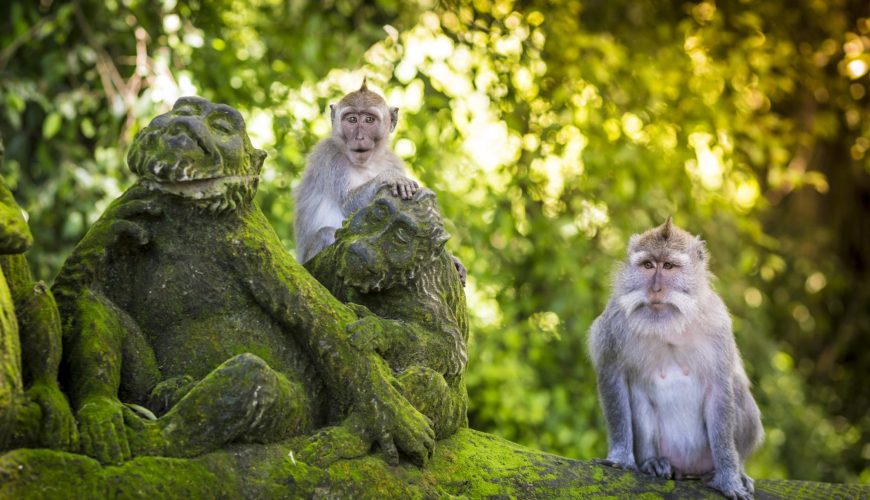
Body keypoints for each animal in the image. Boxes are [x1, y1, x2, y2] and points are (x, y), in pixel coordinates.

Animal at [293, 79, 420, 265]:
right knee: (327, 233)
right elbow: (347, 204)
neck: (367, 163)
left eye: (369, 120)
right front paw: (388, 177)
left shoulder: (393, 161)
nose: (359, 137)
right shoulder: (331, 157)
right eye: (352, 119)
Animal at [588, 218, 763, 500]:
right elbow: (612, 377)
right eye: (648, 265)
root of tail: (687, 469)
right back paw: (654, 462)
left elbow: (720, 389)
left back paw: (733, 470)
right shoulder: (614, 324)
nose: (655, 289)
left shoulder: (717, 324)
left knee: (737, 390)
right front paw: (621, 458)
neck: (668, 324)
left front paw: (729, 479)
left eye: (669, 266)